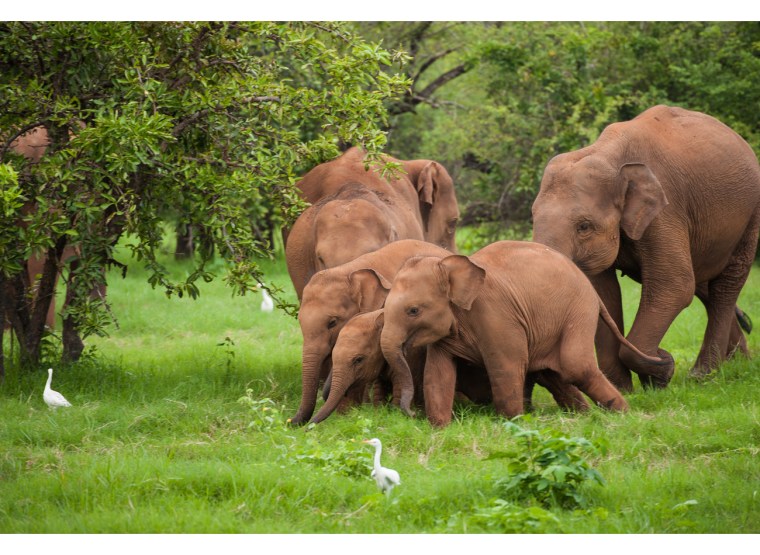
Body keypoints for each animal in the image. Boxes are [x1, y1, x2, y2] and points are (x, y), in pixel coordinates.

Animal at [379, 241, 668, 427]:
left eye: (413, 311)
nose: (409, 415)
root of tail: (590, 288)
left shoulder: (497, 316)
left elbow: (506, 366)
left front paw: (512, 424)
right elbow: (437, 374)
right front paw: (440, 428)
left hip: (578, 310)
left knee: (576, 367)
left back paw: (624, 415)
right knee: (551, 373)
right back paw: (585, 416)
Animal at [531, 105, 760, 390]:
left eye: (584, 226)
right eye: (532, 217)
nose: (662, 355)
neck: (606, 154)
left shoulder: (665, 211)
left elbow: (674, 284)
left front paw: (662, 370)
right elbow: (603, 293)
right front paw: (624, 388)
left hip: (751, 214)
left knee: (725, 285)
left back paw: (703, 375)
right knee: (704, 286)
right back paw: (739, 363)